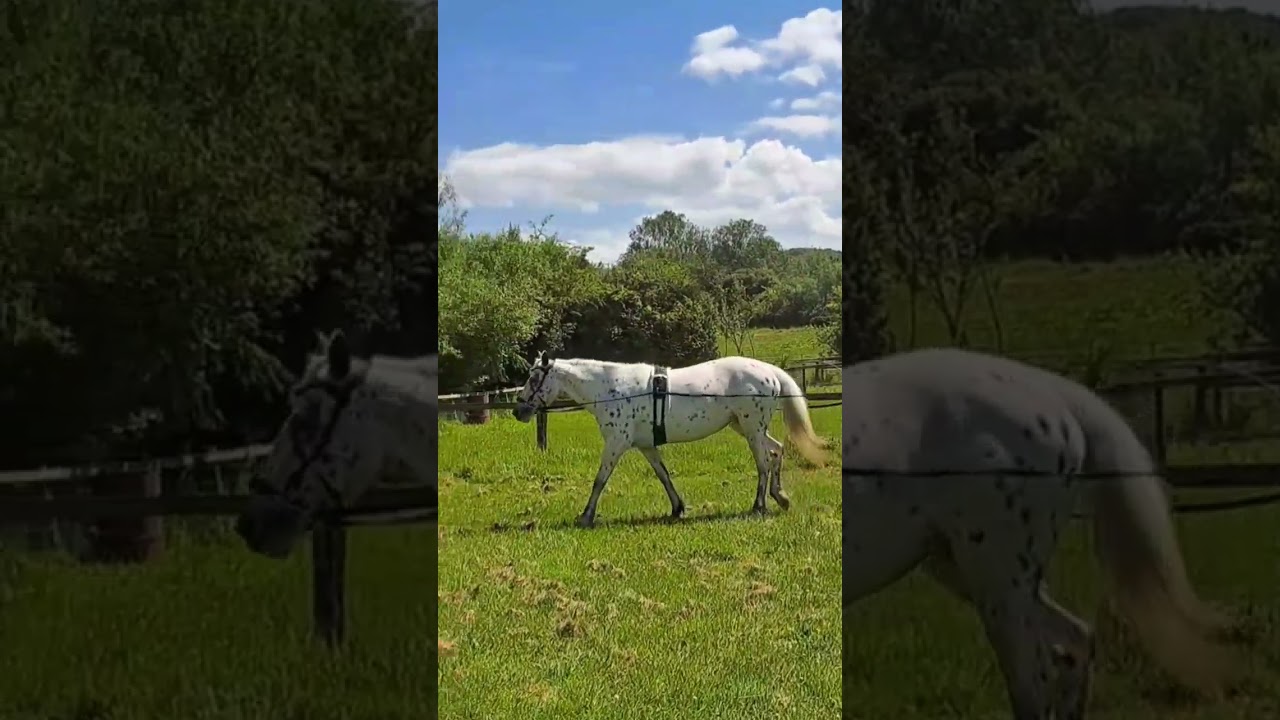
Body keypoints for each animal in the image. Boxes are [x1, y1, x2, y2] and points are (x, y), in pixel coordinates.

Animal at [512, 352, 830, 527]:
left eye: (534, 378)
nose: (518, 410)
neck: (612, 388)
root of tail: (769, 371)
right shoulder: (646, 446)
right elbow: (663, 475)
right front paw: (678, 508)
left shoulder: (616, 443)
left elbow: (600, 480)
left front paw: (586, 516)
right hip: (747, 427)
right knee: (777, 451)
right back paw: (780, 497)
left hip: (752, 429)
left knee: (764, 462)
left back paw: (759, 505)